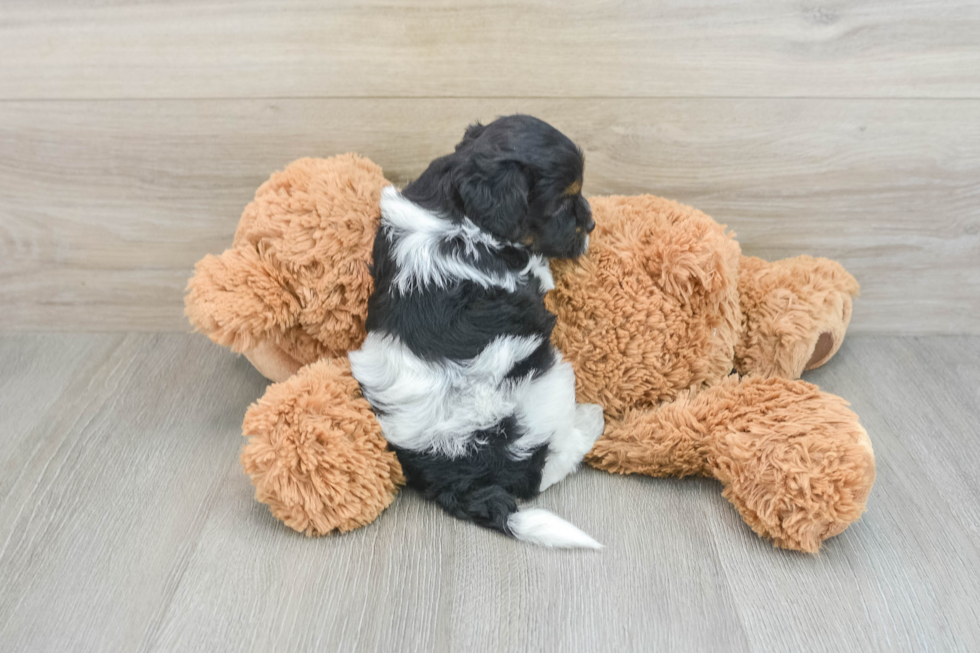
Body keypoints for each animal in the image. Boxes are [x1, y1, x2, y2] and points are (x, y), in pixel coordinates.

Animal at [348, 114, 600, 548]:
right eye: (561, 204)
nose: (592, 224)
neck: (456, 209)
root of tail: (455, 469)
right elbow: (539, 270)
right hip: (550, 382)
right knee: (547, 467)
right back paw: (591, 421)